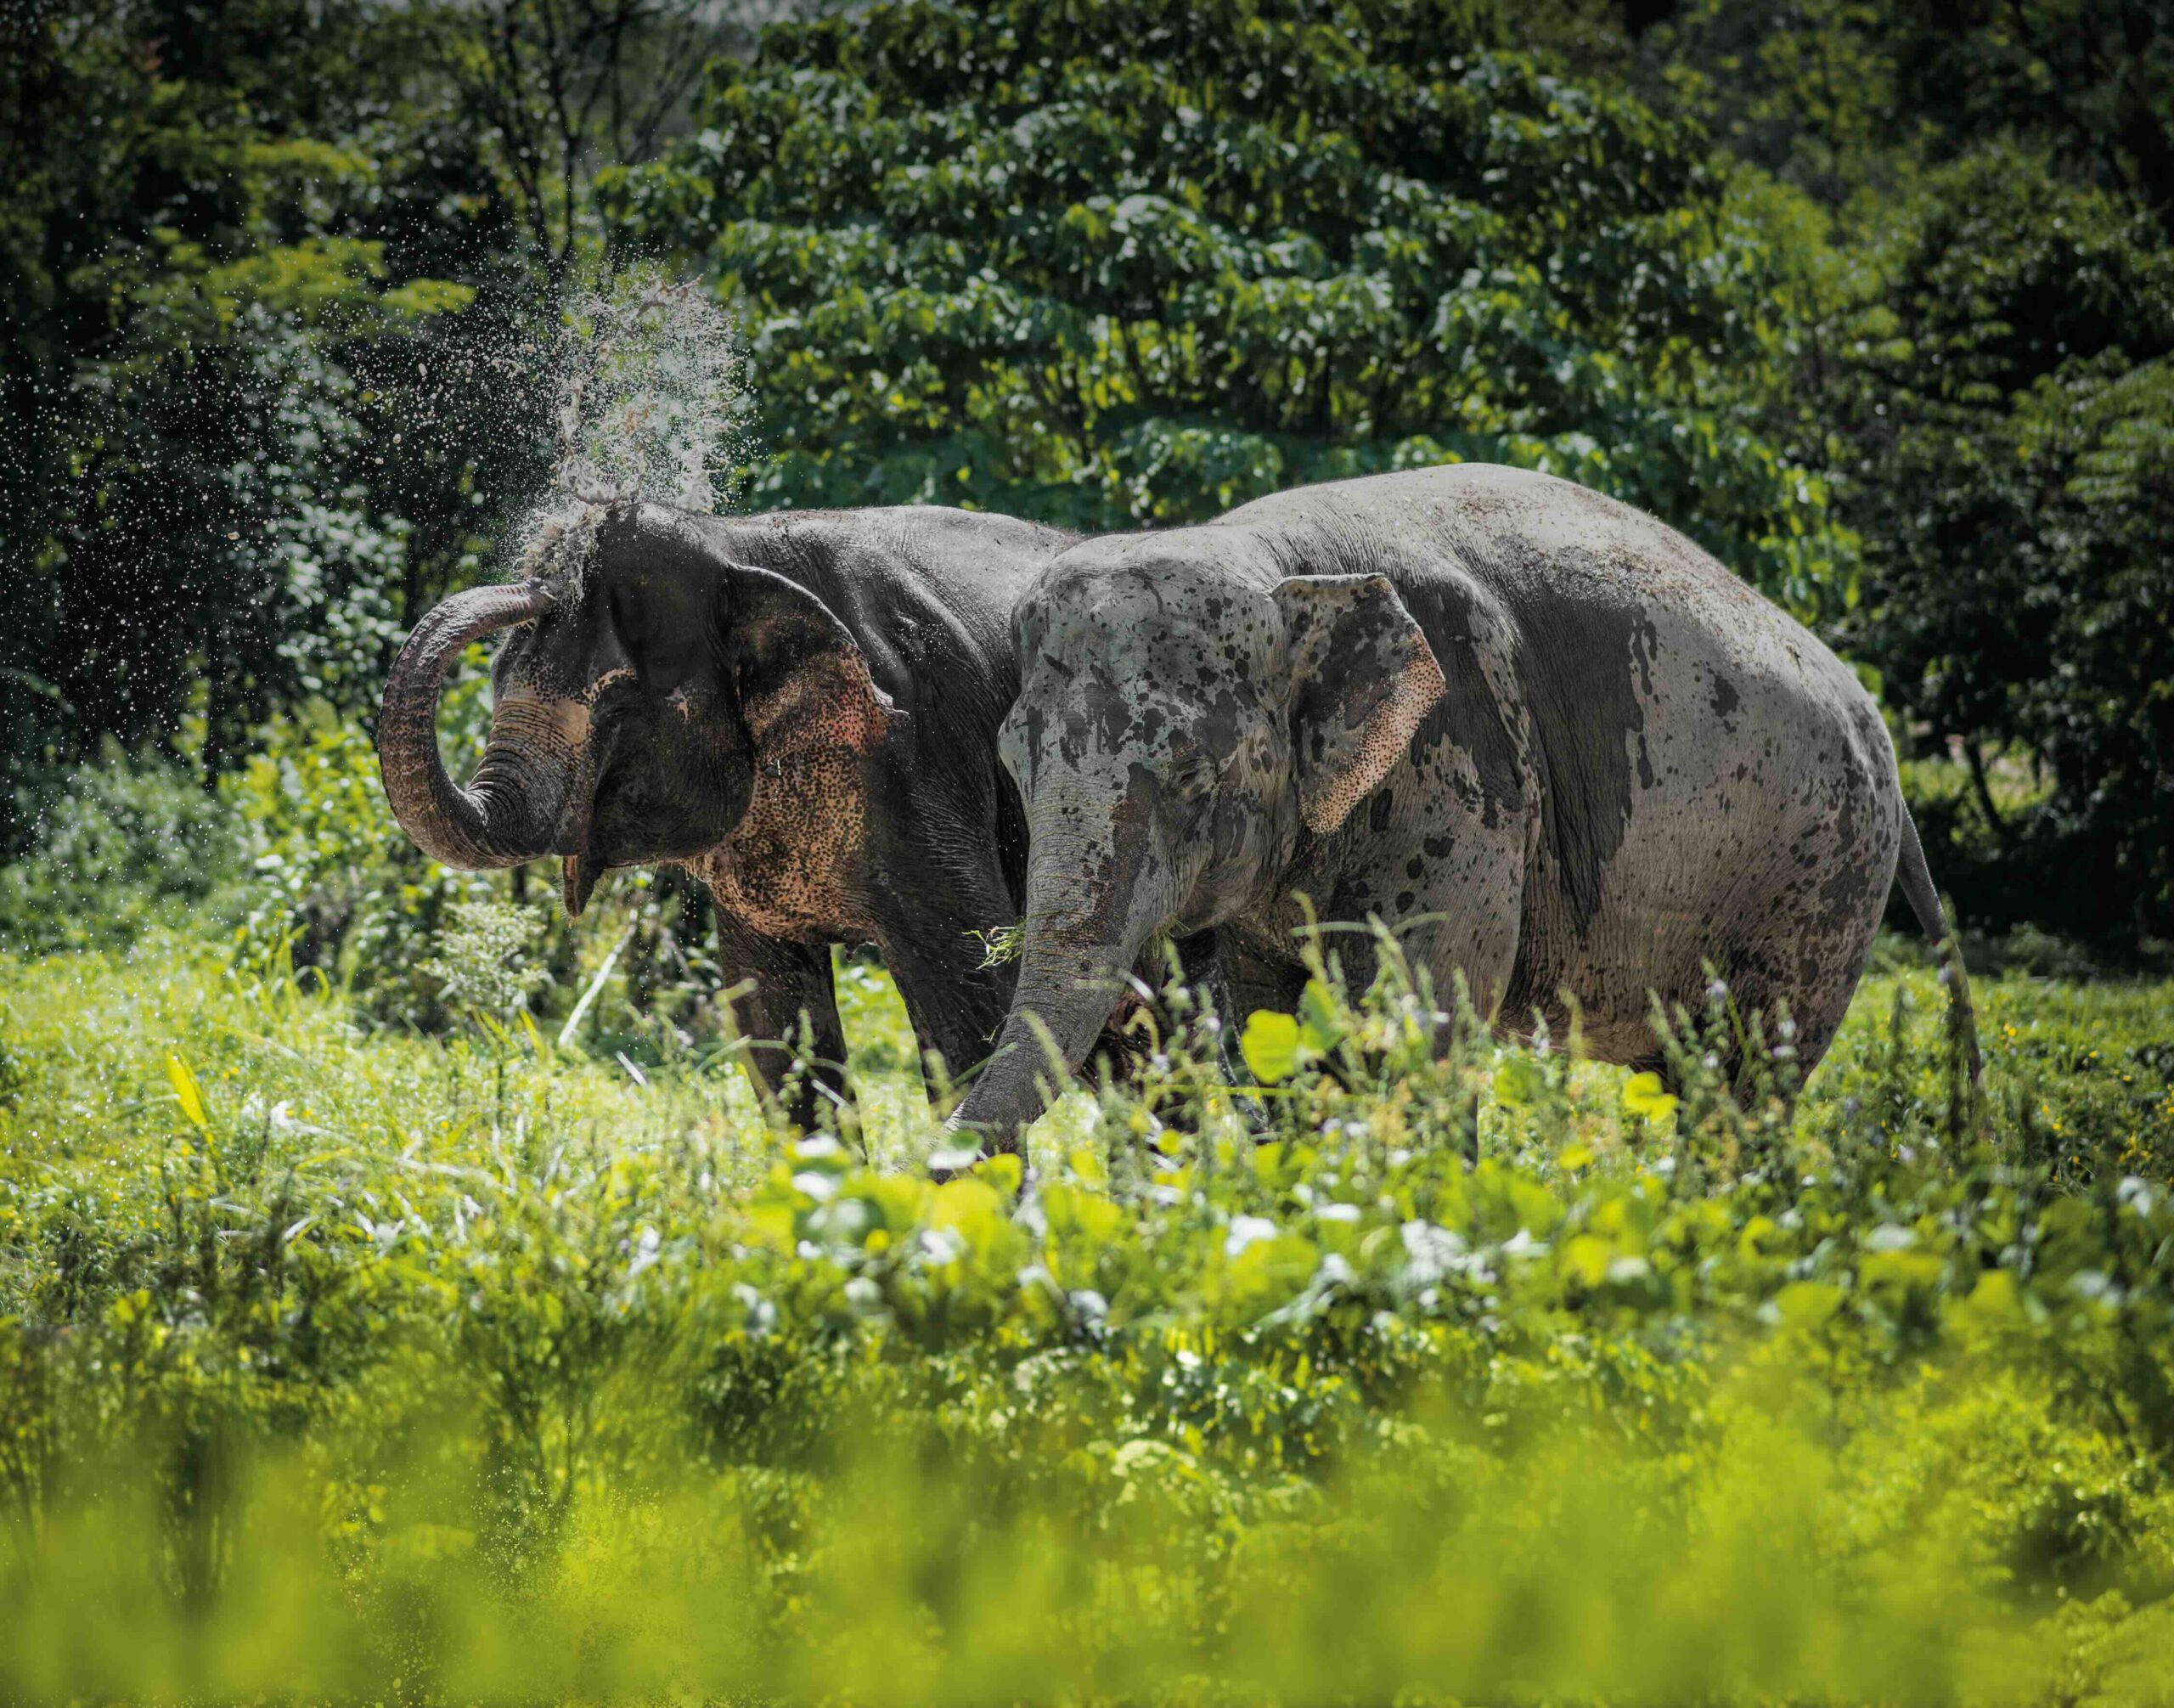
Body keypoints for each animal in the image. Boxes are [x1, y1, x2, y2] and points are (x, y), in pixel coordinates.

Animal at [377, 499, 1073, 1129]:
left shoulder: (920, 757)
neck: (734, 545)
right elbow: (773, 1022)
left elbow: (976, 994)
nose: (544, 580)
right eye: (498, 675)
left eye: (620, 705)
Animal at [950, 463, 1976, 1149]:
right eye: (1013, 766)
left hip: (1819, 878)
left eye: (1200, 778)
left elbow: (1418, 1027)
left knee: (1748, 1078)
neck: (1279, 565)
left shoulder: (1463, 772)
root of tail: (1872, 718)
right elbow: (1268, 1025)